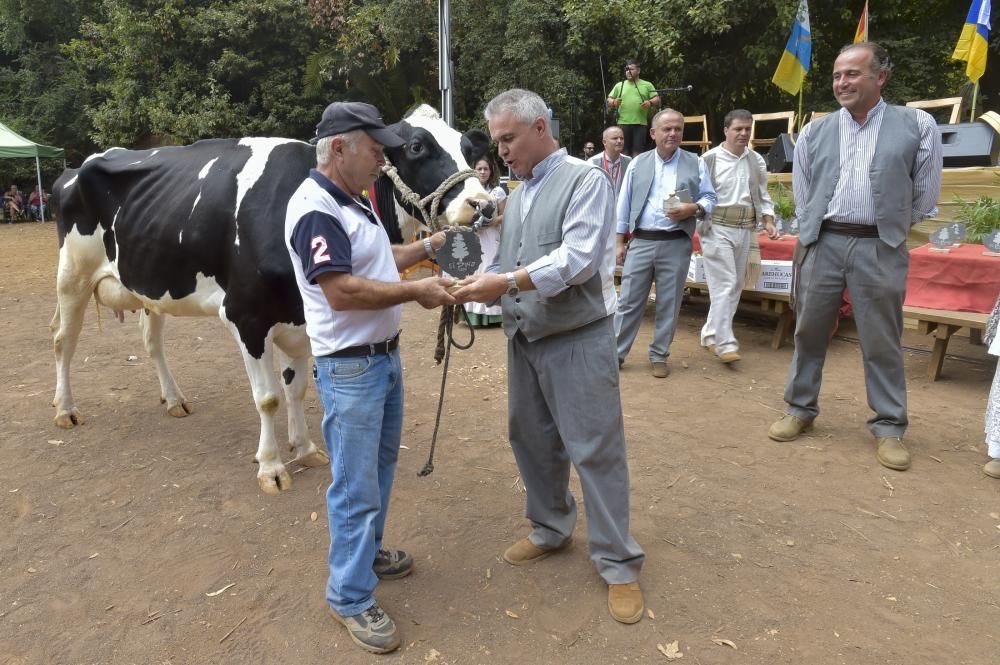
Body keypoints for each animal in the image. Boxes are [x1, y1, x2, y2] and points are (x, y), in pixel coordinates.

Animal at [52, 105, 490, 492]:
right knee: (63, 342)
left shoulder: (303, 318)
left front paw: (306, 448)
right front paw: (272, 466)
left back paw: (174, 399)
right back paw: (65, 409)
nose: (484, 204)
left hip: (150, 283)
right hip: (72, 274)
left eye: (468, 148)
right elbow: (268, 398)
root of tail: (79, 167)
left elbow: (296, 388)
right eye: (416, 146)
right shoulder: (246, 316)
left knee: (152, 342)